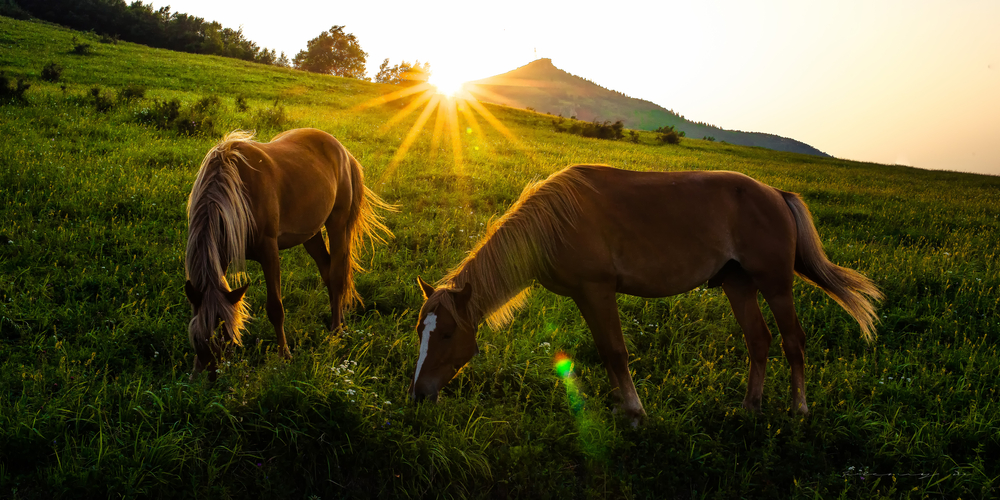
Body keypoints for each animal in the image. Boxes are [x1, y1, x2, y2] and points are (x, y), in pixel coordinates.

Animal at [186, 128, 392, 378]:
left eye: (222, 336)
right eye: (197, 338)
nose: (209, 376)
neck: (236, 190)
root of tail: (342, 150)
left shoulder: (269, 251)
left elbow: (275, 308)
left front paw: (284, 357)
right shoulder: (223, 254)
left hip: (337, 224)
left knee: (337, 277)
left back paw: (336, 331)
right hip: (311, 234)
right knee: (327, 272)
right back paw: (340, 322)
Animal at [410, 166, 880, 424]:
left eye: (447, 334)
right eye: (420, 331)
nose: (418, 394)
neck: (555, 223)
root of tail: (777, 195)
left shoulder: (598, 290)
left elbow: (616, 352)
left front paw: (635, 412)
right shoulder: (585, 296)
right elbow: (605, 352)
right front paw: (622, 406)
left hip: (775, 283)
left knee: (793, 341)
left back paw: (799, 410)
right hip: (738, 283)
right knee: (759, 341)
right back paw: (750, 406)